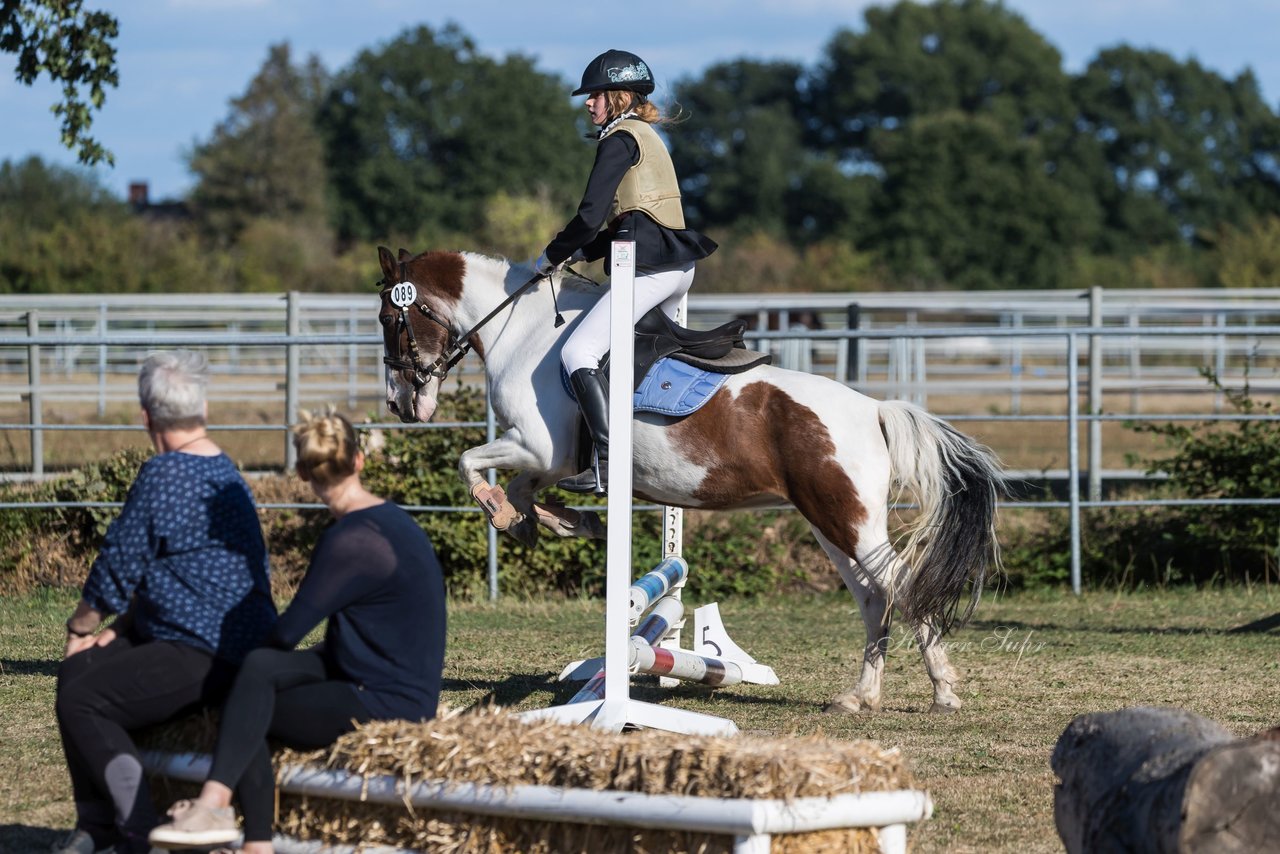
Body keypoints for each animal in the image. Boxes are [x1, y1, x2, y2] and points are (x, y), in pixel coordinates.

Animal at [373, 247, 1003, 717]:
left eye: (387, 319)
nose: (402, 404)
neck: (520, 330)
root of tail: (873, 409)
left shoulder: (536, 444)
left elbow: (470, 462)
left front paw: (505, 512)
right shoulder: (544, 458)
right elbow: (525, 488)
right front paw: (555, 522)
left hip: (848, 522)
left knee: (902, 587)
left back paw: (944, 691)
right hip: (833, 525)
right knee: (876, 598)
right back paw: (859, 697)